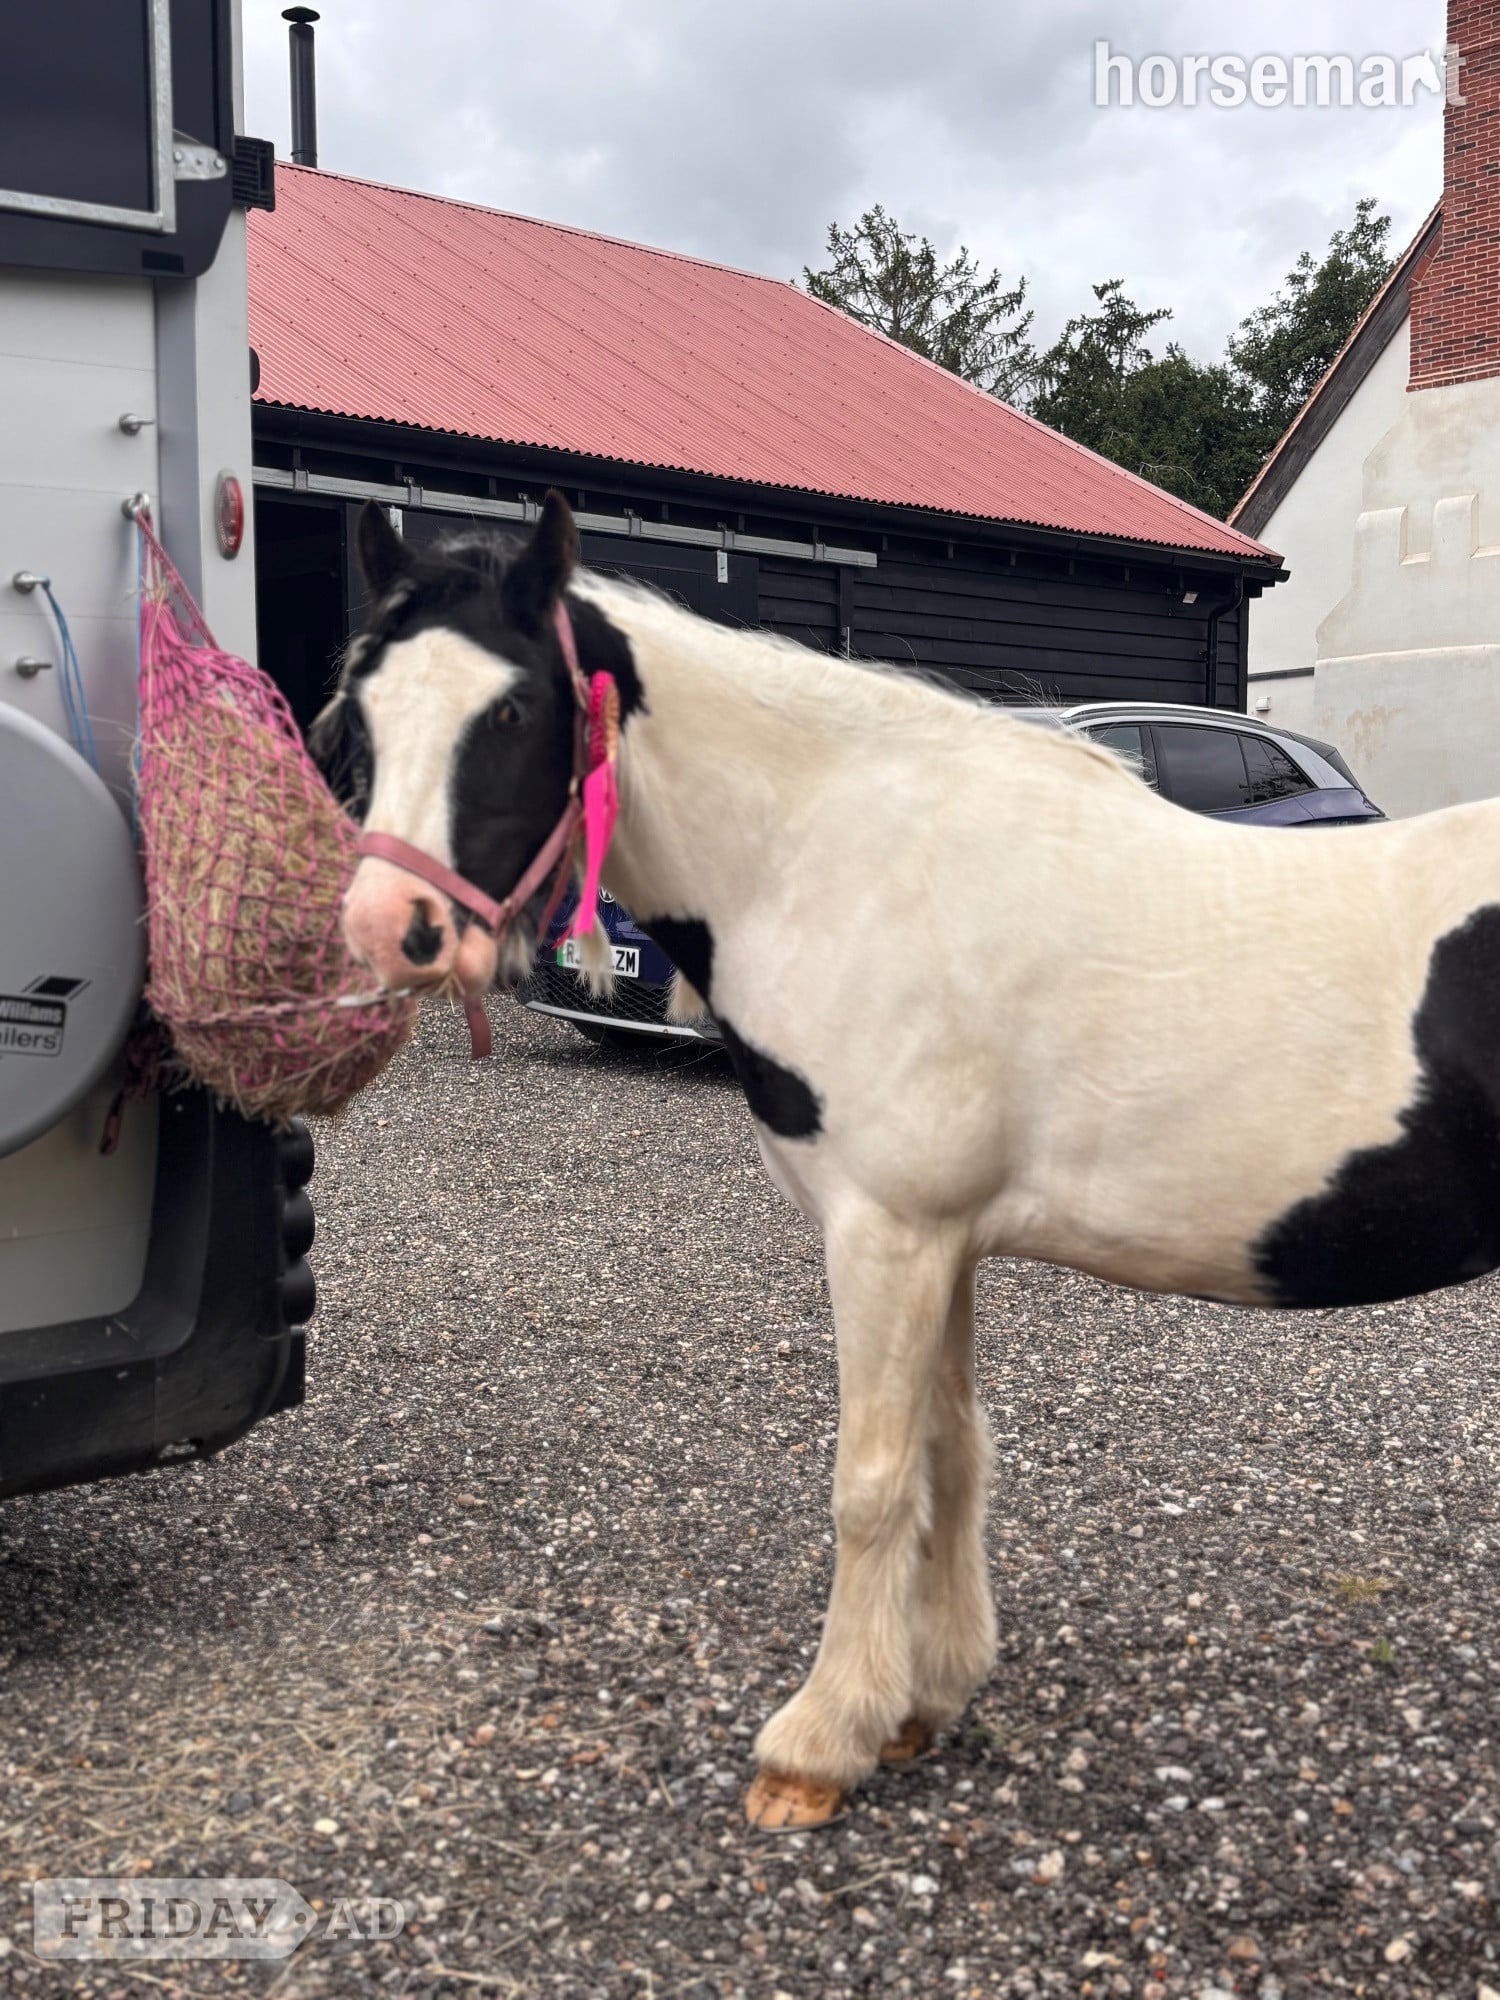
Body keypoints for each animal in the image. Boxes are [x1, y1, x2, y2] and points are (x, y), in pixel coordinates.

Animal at [315, 491, 1500, 1829]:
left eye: (514, 710)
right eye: (360, 711)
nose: (388, 930)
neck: (842, 863)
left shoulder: (884, 1231)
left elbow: (871, 1479)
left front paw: (818, 1744)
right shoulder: (946, 1240)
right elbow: (952, 1450)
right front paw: (926, 1696)